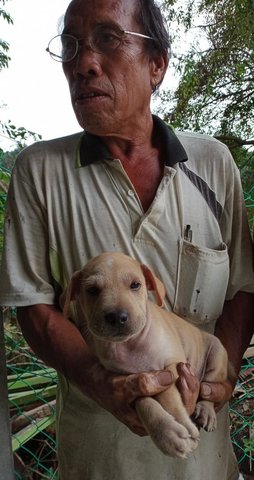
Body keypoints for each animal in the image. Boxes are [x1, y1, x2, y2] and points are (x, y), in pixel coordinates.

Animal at [61, 251, 228, 458]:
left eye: (135, 285)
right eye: (92, 290)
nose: (117, 317)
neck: (130, 344)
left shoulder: (172, 365)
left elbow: (168, 396)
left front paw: (182, 424)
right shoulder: (126, 384)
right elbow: (144, 402)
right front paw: (168, 435)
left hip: (217, 353)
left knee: (208, 387)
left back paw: (206, 411)